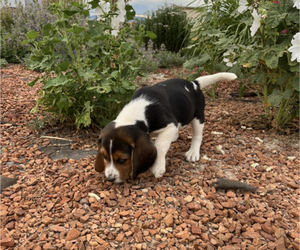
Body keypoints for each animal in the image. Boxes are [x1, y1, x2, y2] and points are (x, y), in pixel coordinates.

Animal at [94, 72, 237, 182]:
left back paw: (193, 152)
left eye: (122, 160)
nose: (110, 179)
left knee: (197, 135)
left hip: (198, 116)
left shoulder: (169, 124)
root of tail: (193, 83)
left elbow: (160, 145)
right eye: (105, 157)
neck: (138, 111)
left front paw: (158, 167)